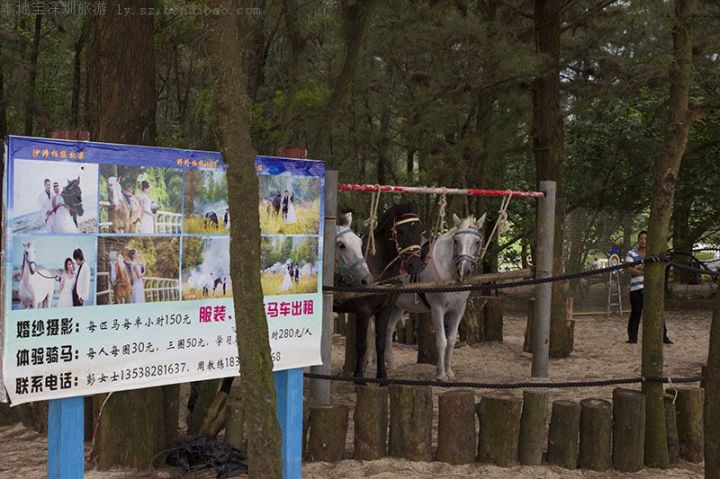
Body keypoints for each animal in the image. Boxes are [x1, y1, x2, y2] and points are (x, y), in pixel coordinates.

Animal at [386, 216, 486, 380]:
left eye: (477, 241)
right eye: (456, 241)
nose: (464, 270)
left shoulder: (459, 309)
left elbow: (451, 340)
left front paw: (449, 372)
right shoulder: (437, 309)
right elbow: (441, 341)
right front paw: (441, 375)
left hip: (397, 307)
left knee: (388, 329)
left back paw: (389, 364)